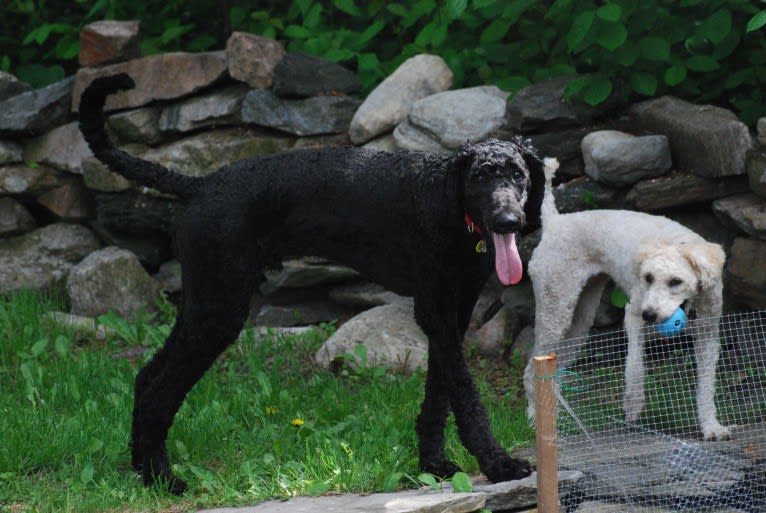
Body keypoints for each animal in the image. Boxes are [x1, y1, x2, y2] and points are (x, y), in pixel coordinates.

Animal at [79, 72, 544, 492]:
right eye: (480, 177)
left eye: (518, 175)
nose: (510, 221)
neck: (447, 203)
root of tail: (199, 184)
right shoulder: (436, 312)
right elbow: (465, 395)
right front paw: (497, 464)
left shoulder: (451, 312)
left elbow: (439, 393)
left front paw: (434, 464)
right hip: (218, 309)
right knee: (159, 388)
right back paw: (162, 478)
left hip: (204, 305)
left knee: (147, 376)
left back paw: (141, 468)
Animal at [524, 157, 728, 440]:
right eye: (648, 278)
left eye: (676, 281)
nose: (650, 314)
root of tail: (554, 222)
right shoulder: (633, 315)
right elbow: (634, 365)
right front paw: (632, 405)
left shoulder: (708, 332)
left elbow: (707, 384)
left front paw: (711, 427)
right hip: (555, 307)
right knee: (532, 369)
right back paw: (535, 422)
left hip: (578, 320)